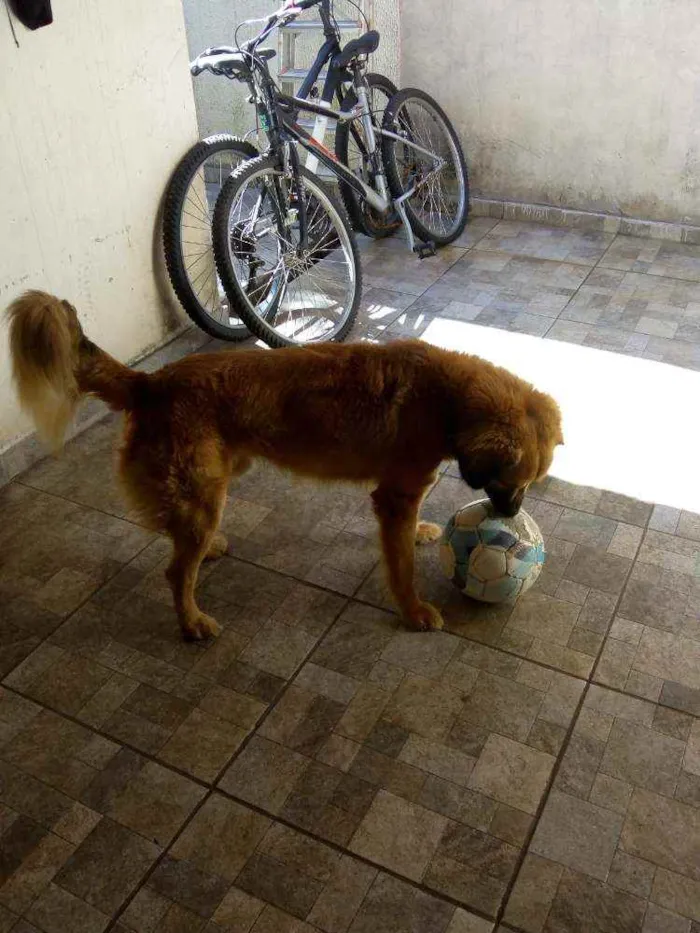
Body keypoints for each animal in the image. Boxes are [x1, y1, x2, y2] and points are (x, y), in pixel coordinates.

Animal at [6, 294, 564, 640]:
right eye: (512, 483)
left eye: (531, 484)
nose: (509, 519)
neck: (447, 398)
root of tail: (150, 383)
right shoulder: (395, 498)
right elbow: (402, 565)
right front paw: (414, 611)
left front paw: (426, 532)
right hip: (203, 493)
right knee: (174, 571)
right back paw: (191, 621)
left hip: (212, 482)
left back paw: (206, 553)